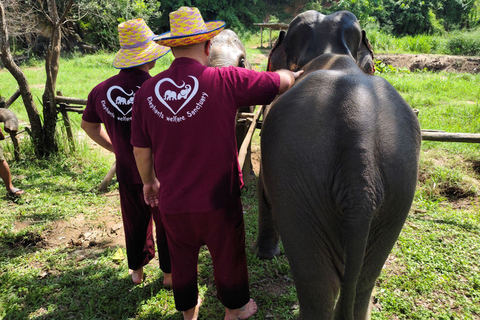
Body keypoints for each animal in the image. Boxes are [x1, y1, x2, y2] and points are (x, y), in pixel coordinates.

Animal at [253, 10, 422, 320]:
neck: (333, 51)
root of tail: (360, 144)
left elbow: (264, 191)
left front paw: (266, 255)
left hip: (298, 179)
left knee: (318, 285)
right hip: (399, 186)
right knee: (363, 280)